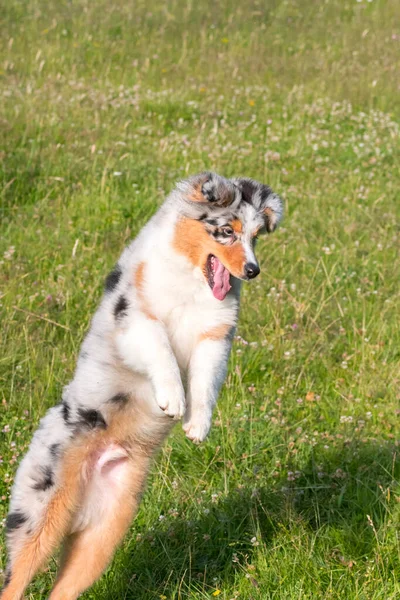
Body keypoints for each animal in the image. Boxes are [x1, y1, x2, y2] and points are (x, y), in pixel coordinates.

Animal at [0, 171, 282, 596]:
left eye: (254, 236)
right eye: (226, 232)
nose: (252, 270)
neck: (191, 282)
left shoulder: (214, 338)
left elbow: (205, 383)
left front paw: (197, 425)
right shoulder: (135, 321)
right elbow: (162, 350)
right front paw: (172, 401)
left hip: (103, 535)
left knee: (62, 589)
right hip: (39, 515)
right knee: (14, 581)